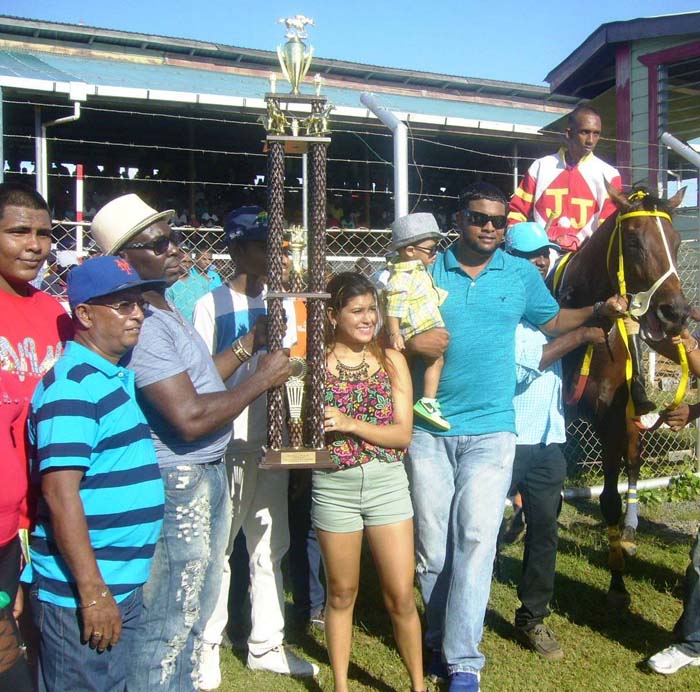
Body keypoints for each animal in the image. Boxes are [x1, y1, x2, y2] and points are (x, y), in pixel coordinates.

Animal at [556, 184, 688, 604]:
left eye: (676, 242)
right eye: (633, 242)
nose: (676, 312)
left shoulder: (611, 417)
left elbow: (610, 498)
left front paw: (617, 579)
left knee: (633, 463)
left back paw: (630, 529)